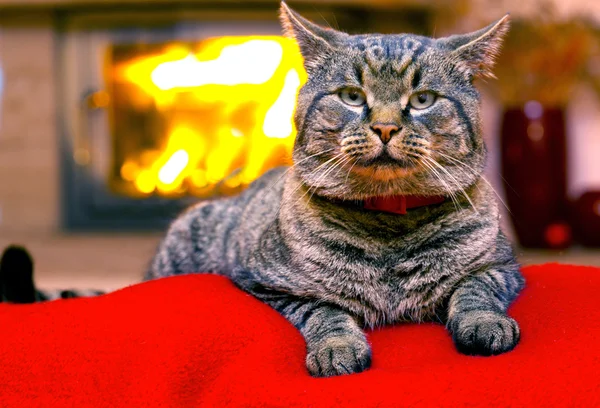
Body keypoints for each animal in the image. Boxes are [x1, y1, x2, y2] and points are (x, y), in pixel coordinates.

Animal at [1, 3, 524, 378]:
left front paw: (483, 324)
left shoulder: (504, 265)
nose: (385, 127)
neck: (388, 225)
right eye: (352, 96)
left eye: (423, 100)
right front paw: (338, 346)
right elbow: (325, 309)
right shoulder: (267, 285)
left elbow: (475, 288)